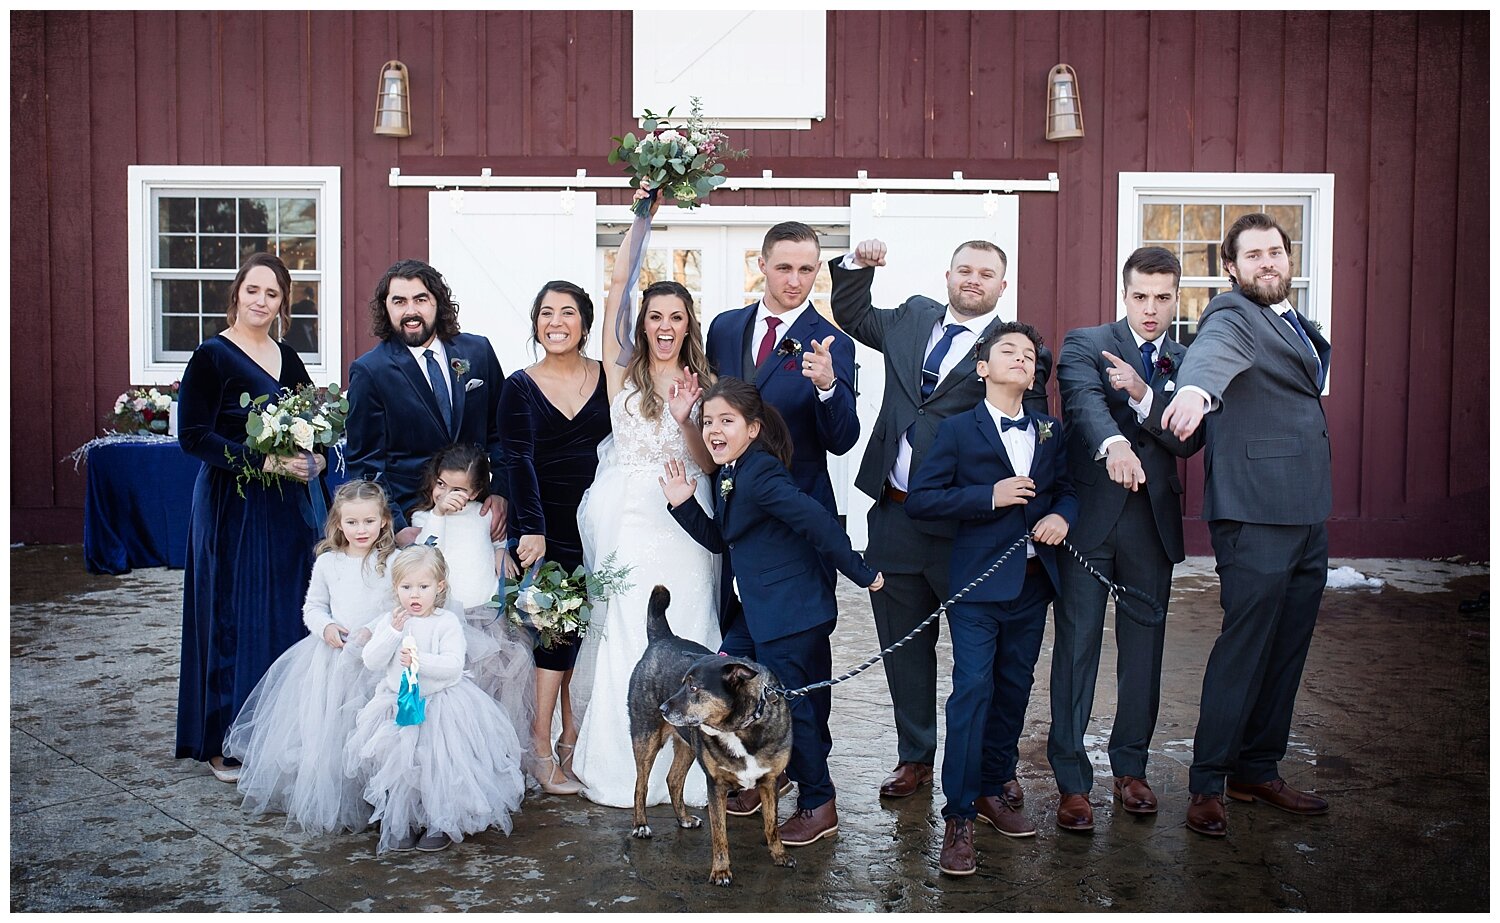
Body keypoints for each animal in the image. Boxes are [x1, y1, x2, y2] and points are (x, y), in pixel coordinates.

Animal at [627, 585, 804, 888]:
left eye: (694, 688)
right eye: (682, 685)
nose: (663, 708)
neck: (739, 727)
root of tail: (662, 638)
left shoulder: (769, 781)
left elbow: (771, 824)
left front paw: (779, 854)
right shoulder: (717, 785)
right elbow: (719, 834)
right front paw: (721, 871)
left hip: (687, 743)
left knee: (673, 780)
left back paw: (684, 818)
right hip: (646, 736)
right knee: (641, 784)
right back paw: (641, 825)